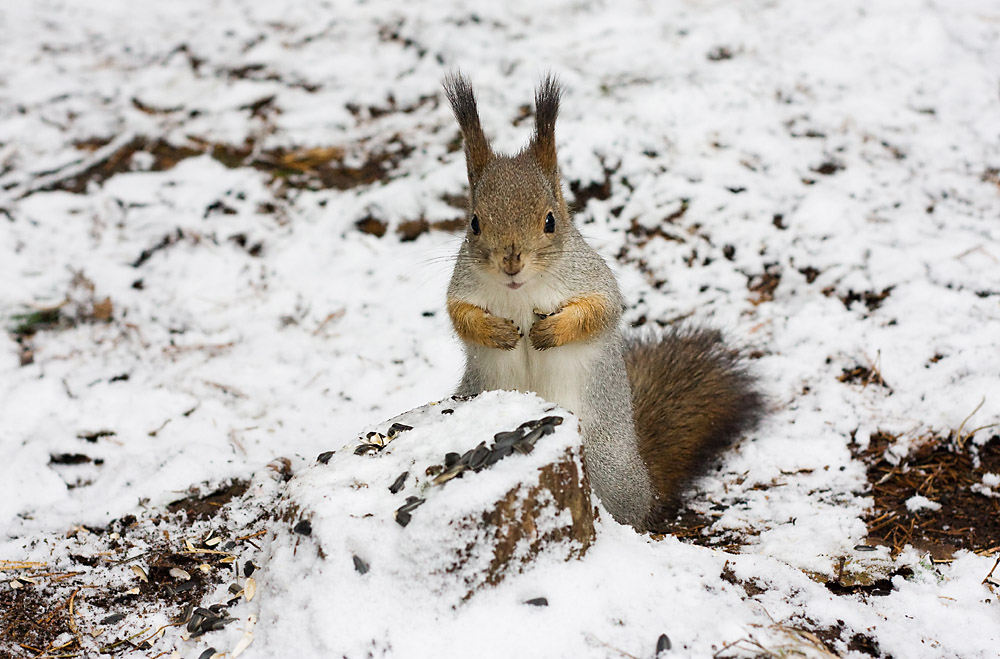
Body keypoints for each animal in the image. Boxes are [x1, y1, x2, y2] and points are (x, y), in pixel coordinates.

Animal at [442, 72, 760, 532]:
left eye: (550, 220)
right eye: (474, 223)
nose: (511, 261)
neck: (521, 294)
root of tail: (646, 483)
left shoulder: (592, 278)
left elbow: (599, 312)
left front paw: (550, 331)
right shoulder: (461, 286)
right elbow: (460, 316)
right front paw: (496, 331)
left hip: (605, 464)